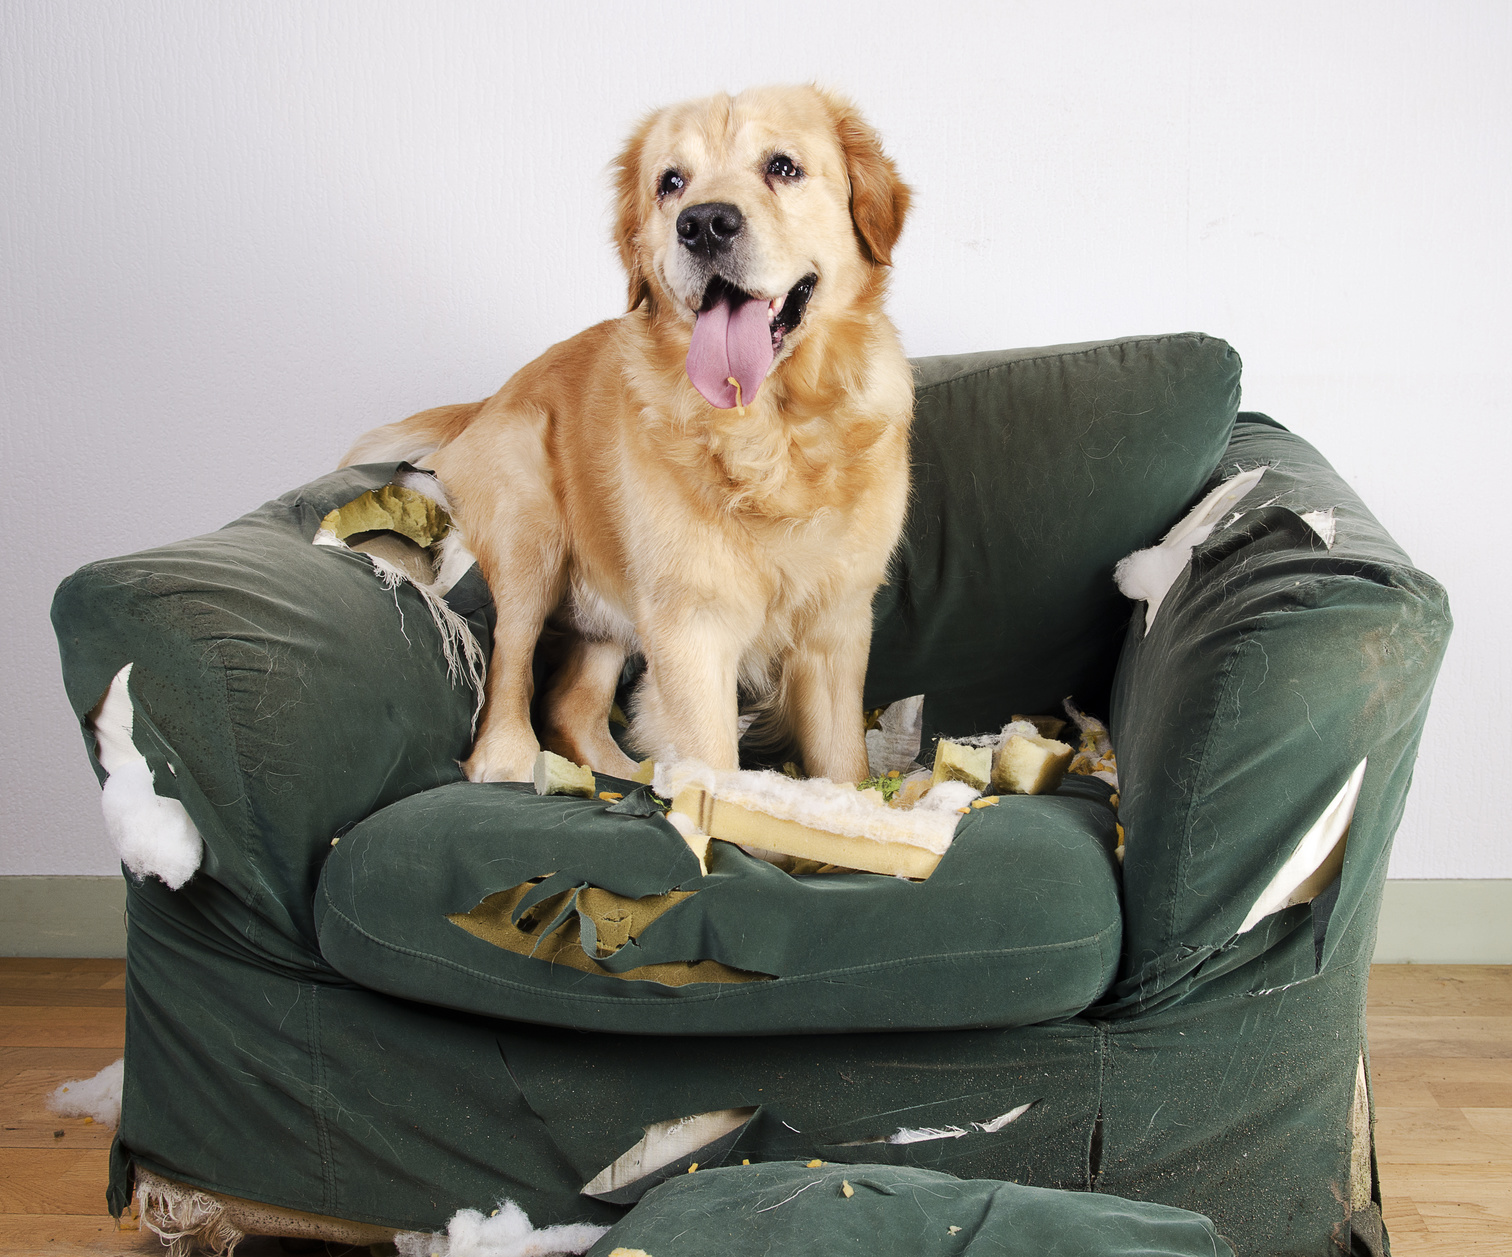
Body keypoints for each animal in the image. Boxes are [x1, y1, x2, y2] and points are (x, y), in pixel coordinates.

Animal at [343, 83, 907, 780]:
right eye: (671, 182)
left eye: (783, 166)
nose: (704, 223)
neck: (770, 431)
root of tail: (489, 401)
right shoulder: (691, 629)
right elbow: (713, 770)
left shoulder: (837, 631)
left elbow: (844, 768)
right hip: (528, 518)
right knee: (511, 665)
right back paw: (509, 760)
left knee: (570, 705)